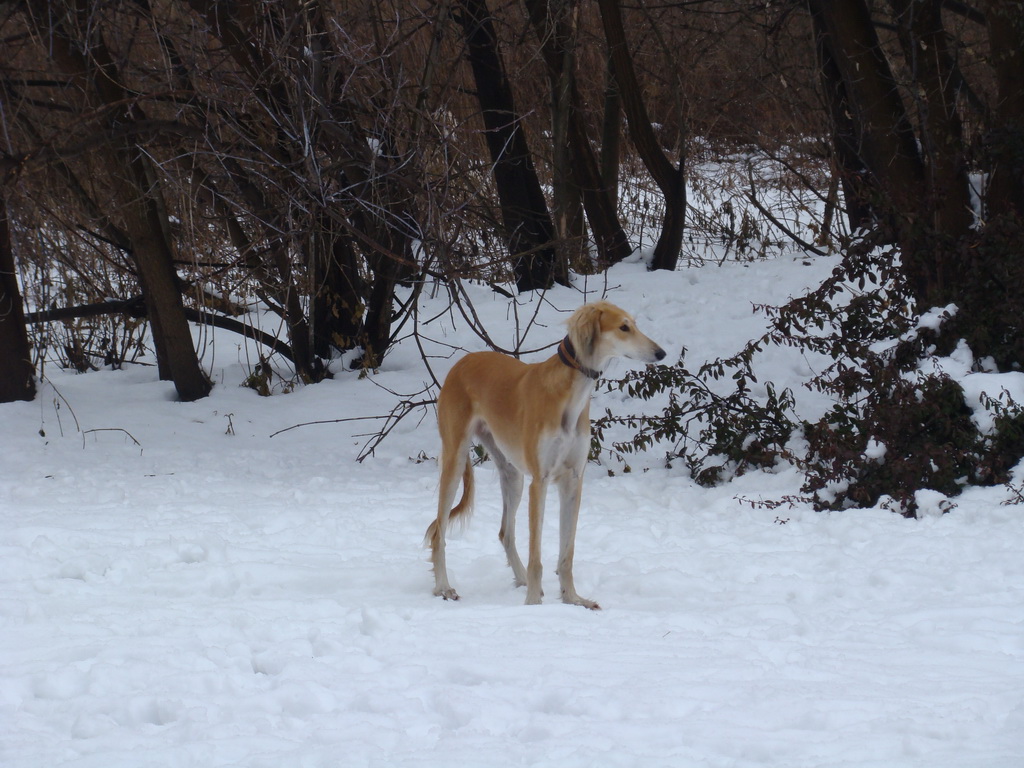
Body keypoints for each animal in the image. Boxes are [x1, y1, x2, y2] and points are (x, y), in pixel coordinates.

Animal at [421, 303, 663, 610]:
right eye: (623, 327)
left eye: (634, 324)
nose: (660, 353)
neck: (570, 395)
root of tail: (463, 361)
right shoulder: (541, 480)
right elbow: (536, 554)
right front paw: (533, 604)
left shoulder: (573, 481)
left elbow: (567, 553)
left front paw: (573, 598)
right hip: (456, 458)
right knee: (439, 532)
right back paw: (444, 587)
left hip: (511, 473)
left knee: (505, 532)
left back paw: (521, 579)